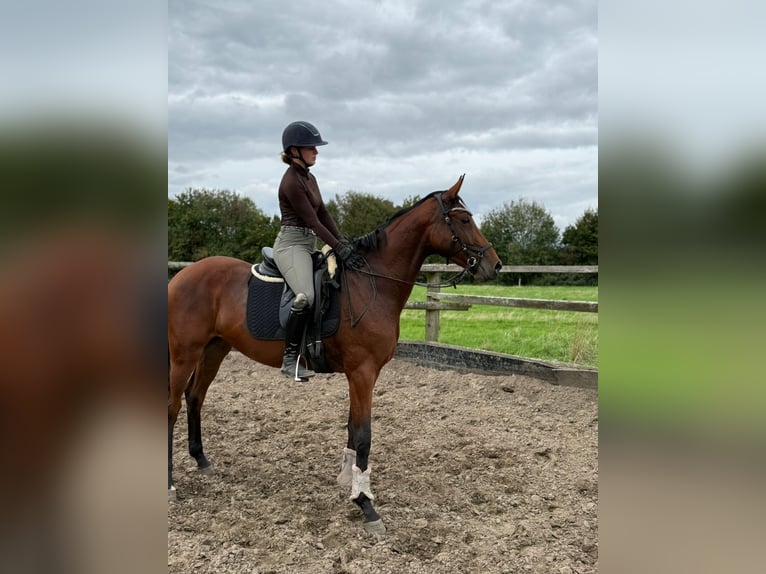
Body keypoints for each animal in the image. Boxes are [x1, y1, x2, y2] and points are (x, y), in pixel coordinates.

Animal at [167, 175, 502, 535]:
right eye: (464, 220)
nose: (494, 264)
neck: (372, 283)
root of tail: (181, 276)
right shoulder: (362, 372)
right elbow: (364, 435)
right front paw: (366, 505)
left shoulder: (363, 374)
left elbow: (352, 428)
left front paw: (350, 481)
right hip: (183, 355)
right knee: (172, 408)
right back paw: (170, 484)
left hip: (214, 349)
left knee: (195, 396)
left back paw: (201, 460)